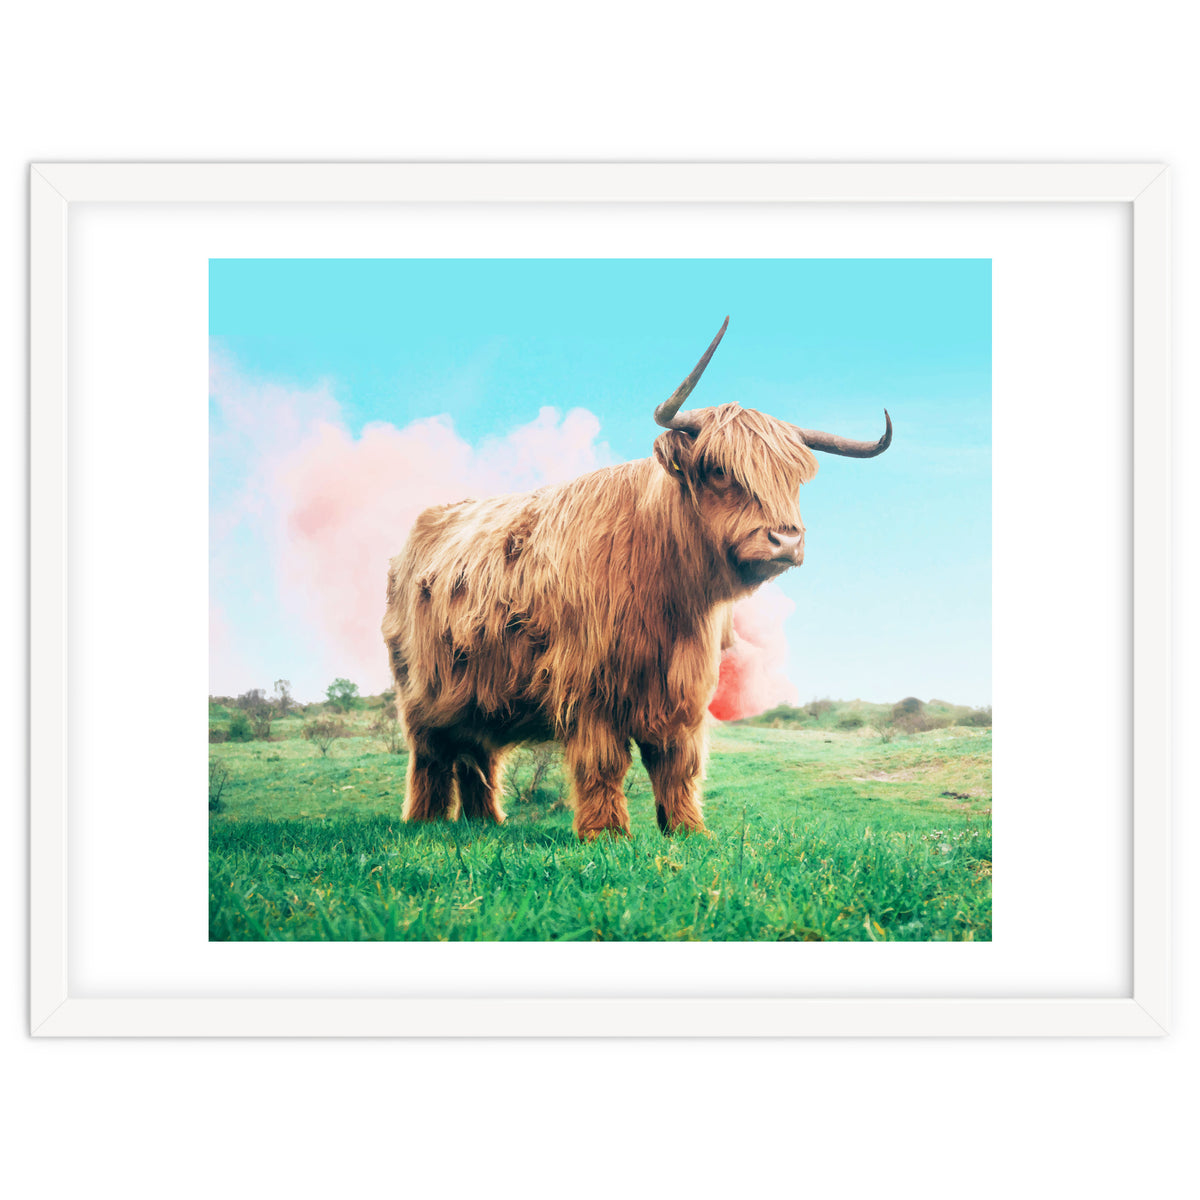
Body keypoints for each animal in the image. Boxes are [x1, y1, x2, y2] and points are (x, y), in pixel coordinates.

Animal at [381, 319, 892, 839]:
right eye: (719, 470)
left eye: (793, 480)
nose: (786, 540)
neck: (668, 594)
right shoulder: (589, 684)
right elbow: (603, 762)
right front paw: (606, 833)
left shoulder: (683, 689)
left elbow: (677, 762)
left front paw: (688, 829)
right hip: (421, 691)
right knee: (431, 755)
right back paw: (425, 821)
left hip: (477, 692)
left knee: (476, 753)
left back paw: (485, 822)